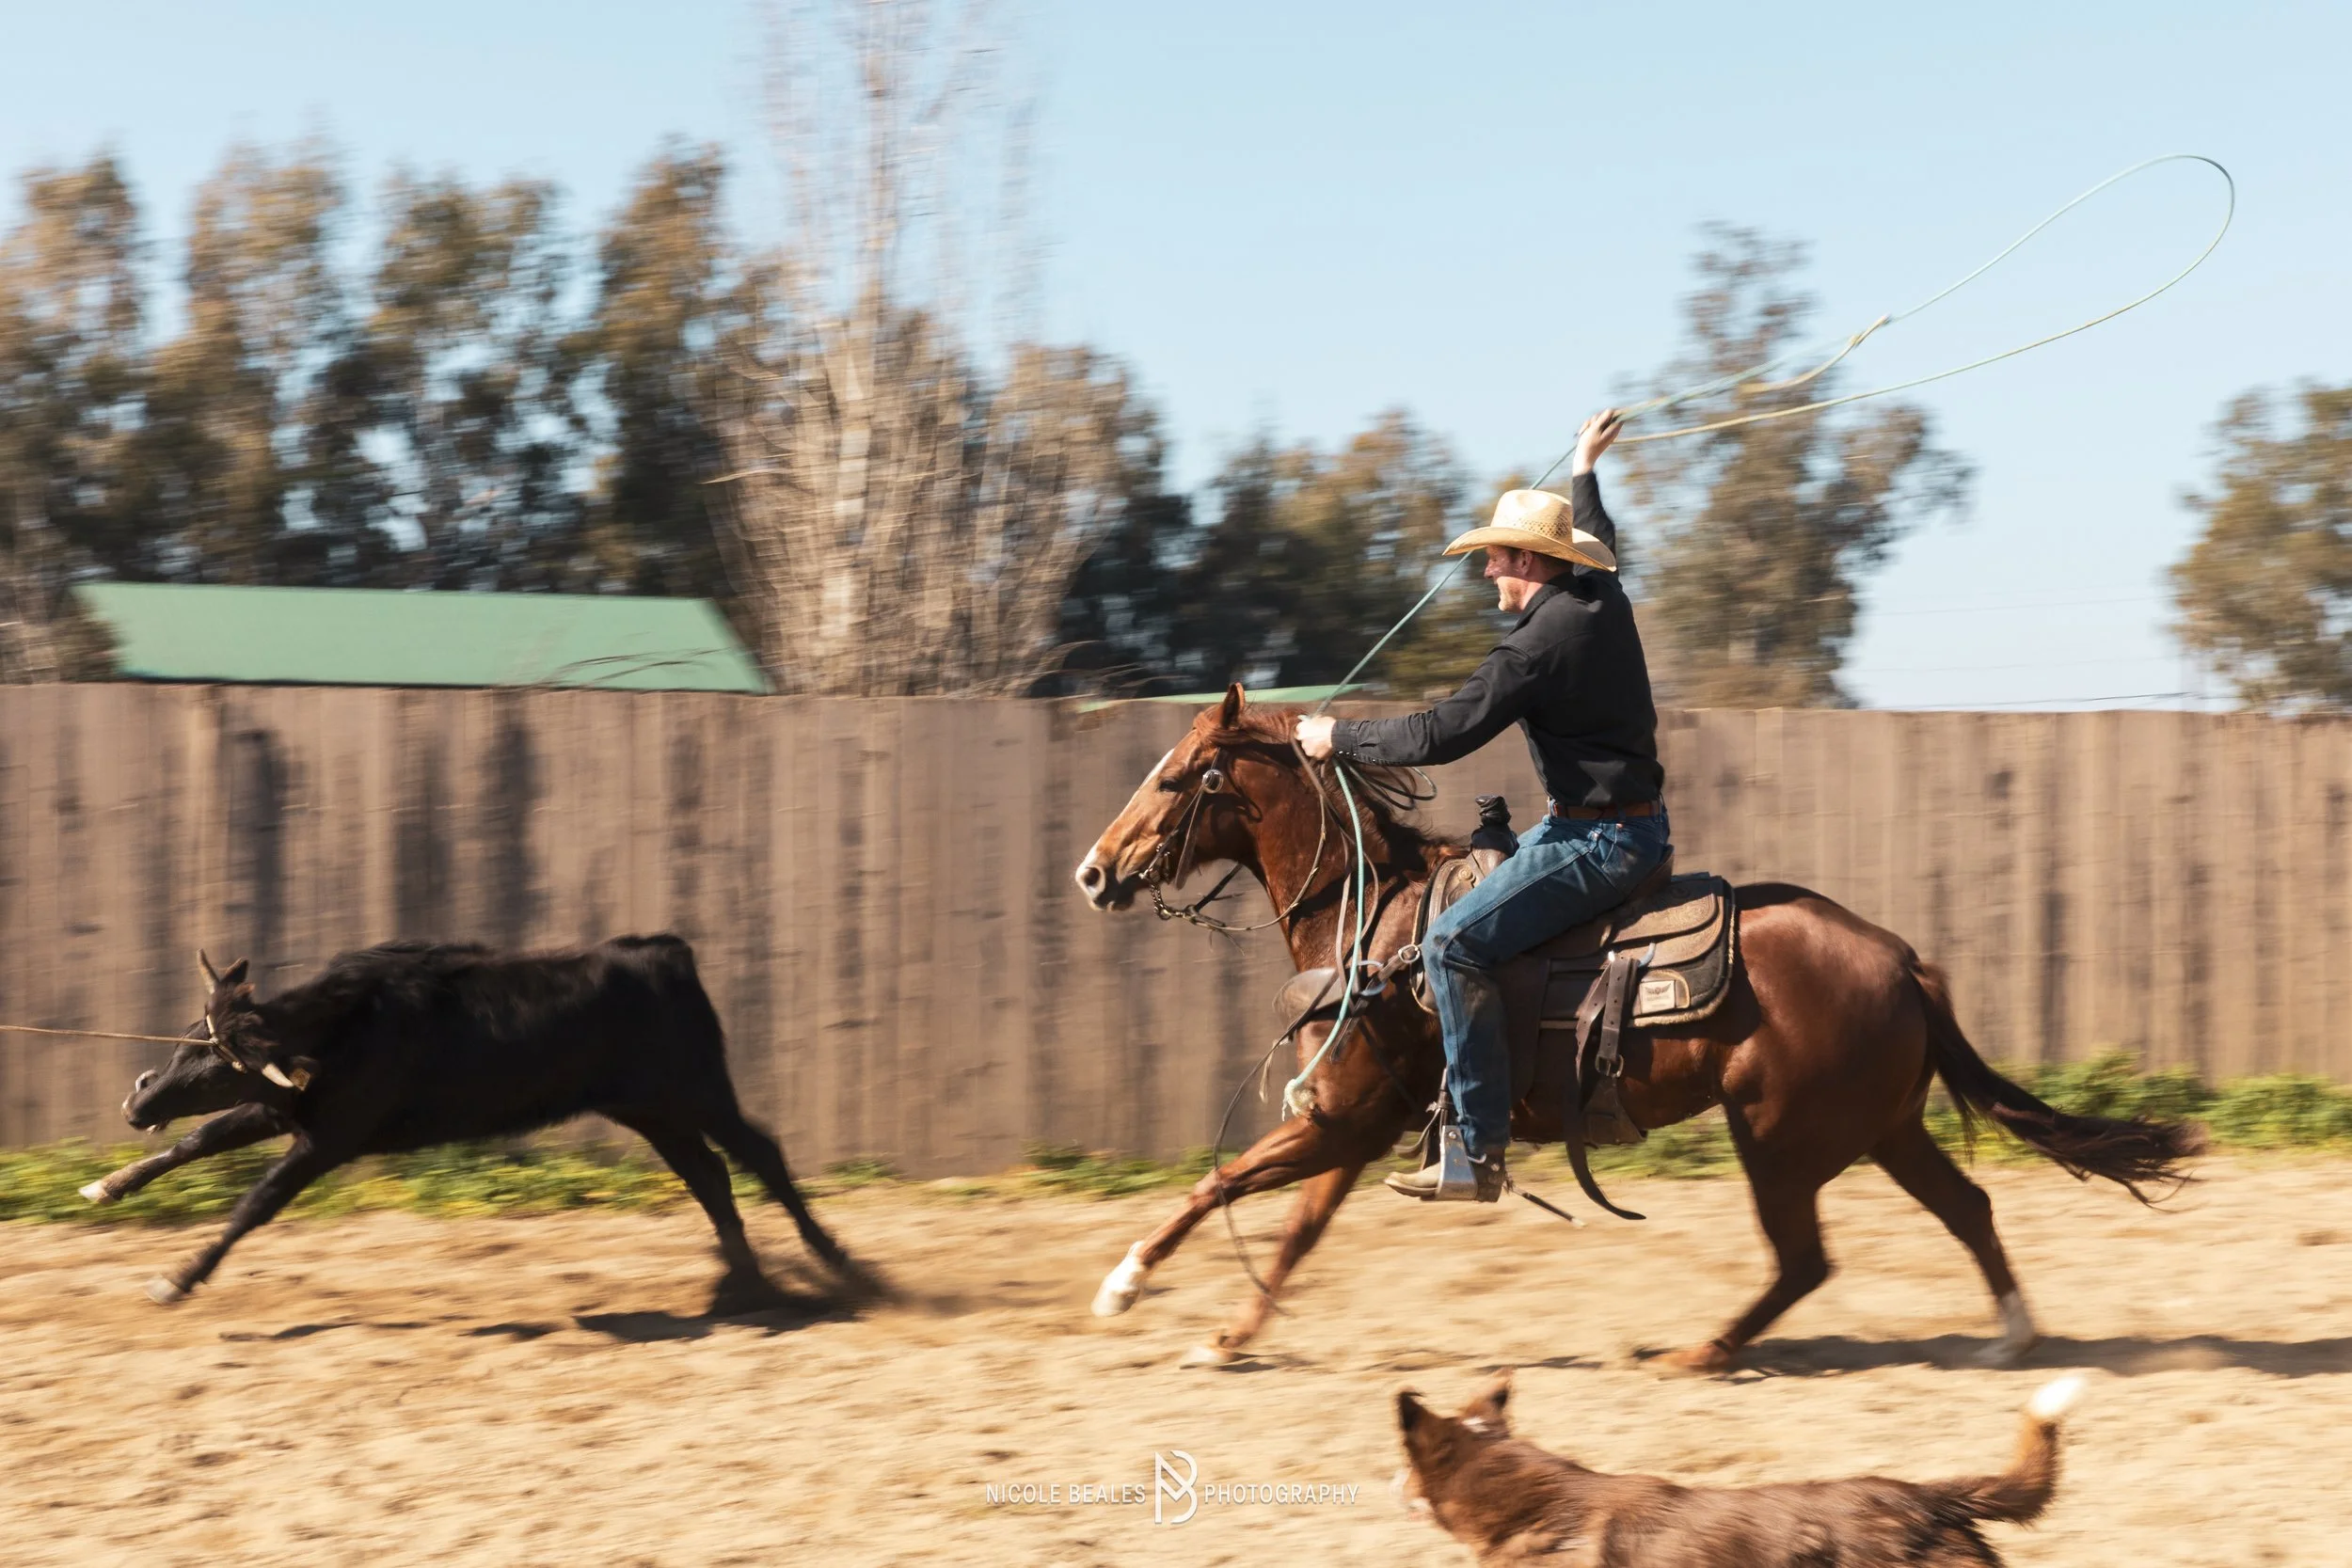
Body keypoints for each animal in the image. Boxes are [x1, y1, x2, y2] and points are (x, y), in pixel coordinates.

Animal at [106, 936, 864, 1309]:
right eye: (186, 1038)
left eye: (217, 1064)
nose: (138, 1103)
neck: (343, 1028)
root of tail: (664, 954)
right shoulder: (280, 1110)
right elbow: (199, 1139)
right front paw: (111, 1185)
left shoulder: (330, 1138)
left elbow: (254, 1203)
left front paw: (177, 1278)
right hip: (649, 1109)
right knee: (708, 1175)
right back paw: (743, 1283)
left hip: (697, 1091)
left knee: (760, 1153)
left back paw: (840, 1265)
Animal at [1071, 687, 2198, 1371]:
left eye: (1177, 776)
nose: (1093, 870)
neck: (1374, 924)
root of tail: (1900, 960)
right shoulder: (1351, 1130)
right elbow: (1292, 1232)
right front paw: (1226, 1335)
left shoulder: (1336, 1122)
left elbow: (1219, 1181)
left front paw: (1123, 1286)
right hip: (1881, 1128)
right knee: (1965, 1205)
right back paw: (2012, 1334)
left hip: (1778, 1139)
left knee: (1805, 1260)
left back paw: (1703, 1352)